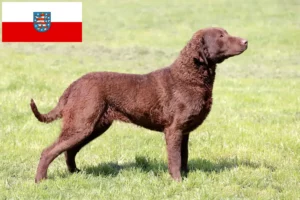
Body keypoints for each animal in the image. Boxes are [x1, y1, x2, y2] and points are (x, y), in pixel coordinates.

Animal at [30, 27, 247, 184]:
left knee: (69, 151)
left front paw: (186, 178)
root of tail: (73, 85)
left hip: (93, 126)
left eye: (226, 32)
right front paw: (177, 182)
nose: (246, 41)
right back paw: (41, 181)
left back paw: (76, 173)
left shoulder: (184, 131)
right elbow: (175, 159)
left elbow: (184, 157)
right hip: (81, 124)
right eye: (221, 36)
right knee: (49, 151)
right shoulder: (174, 129)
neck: (189, 77)